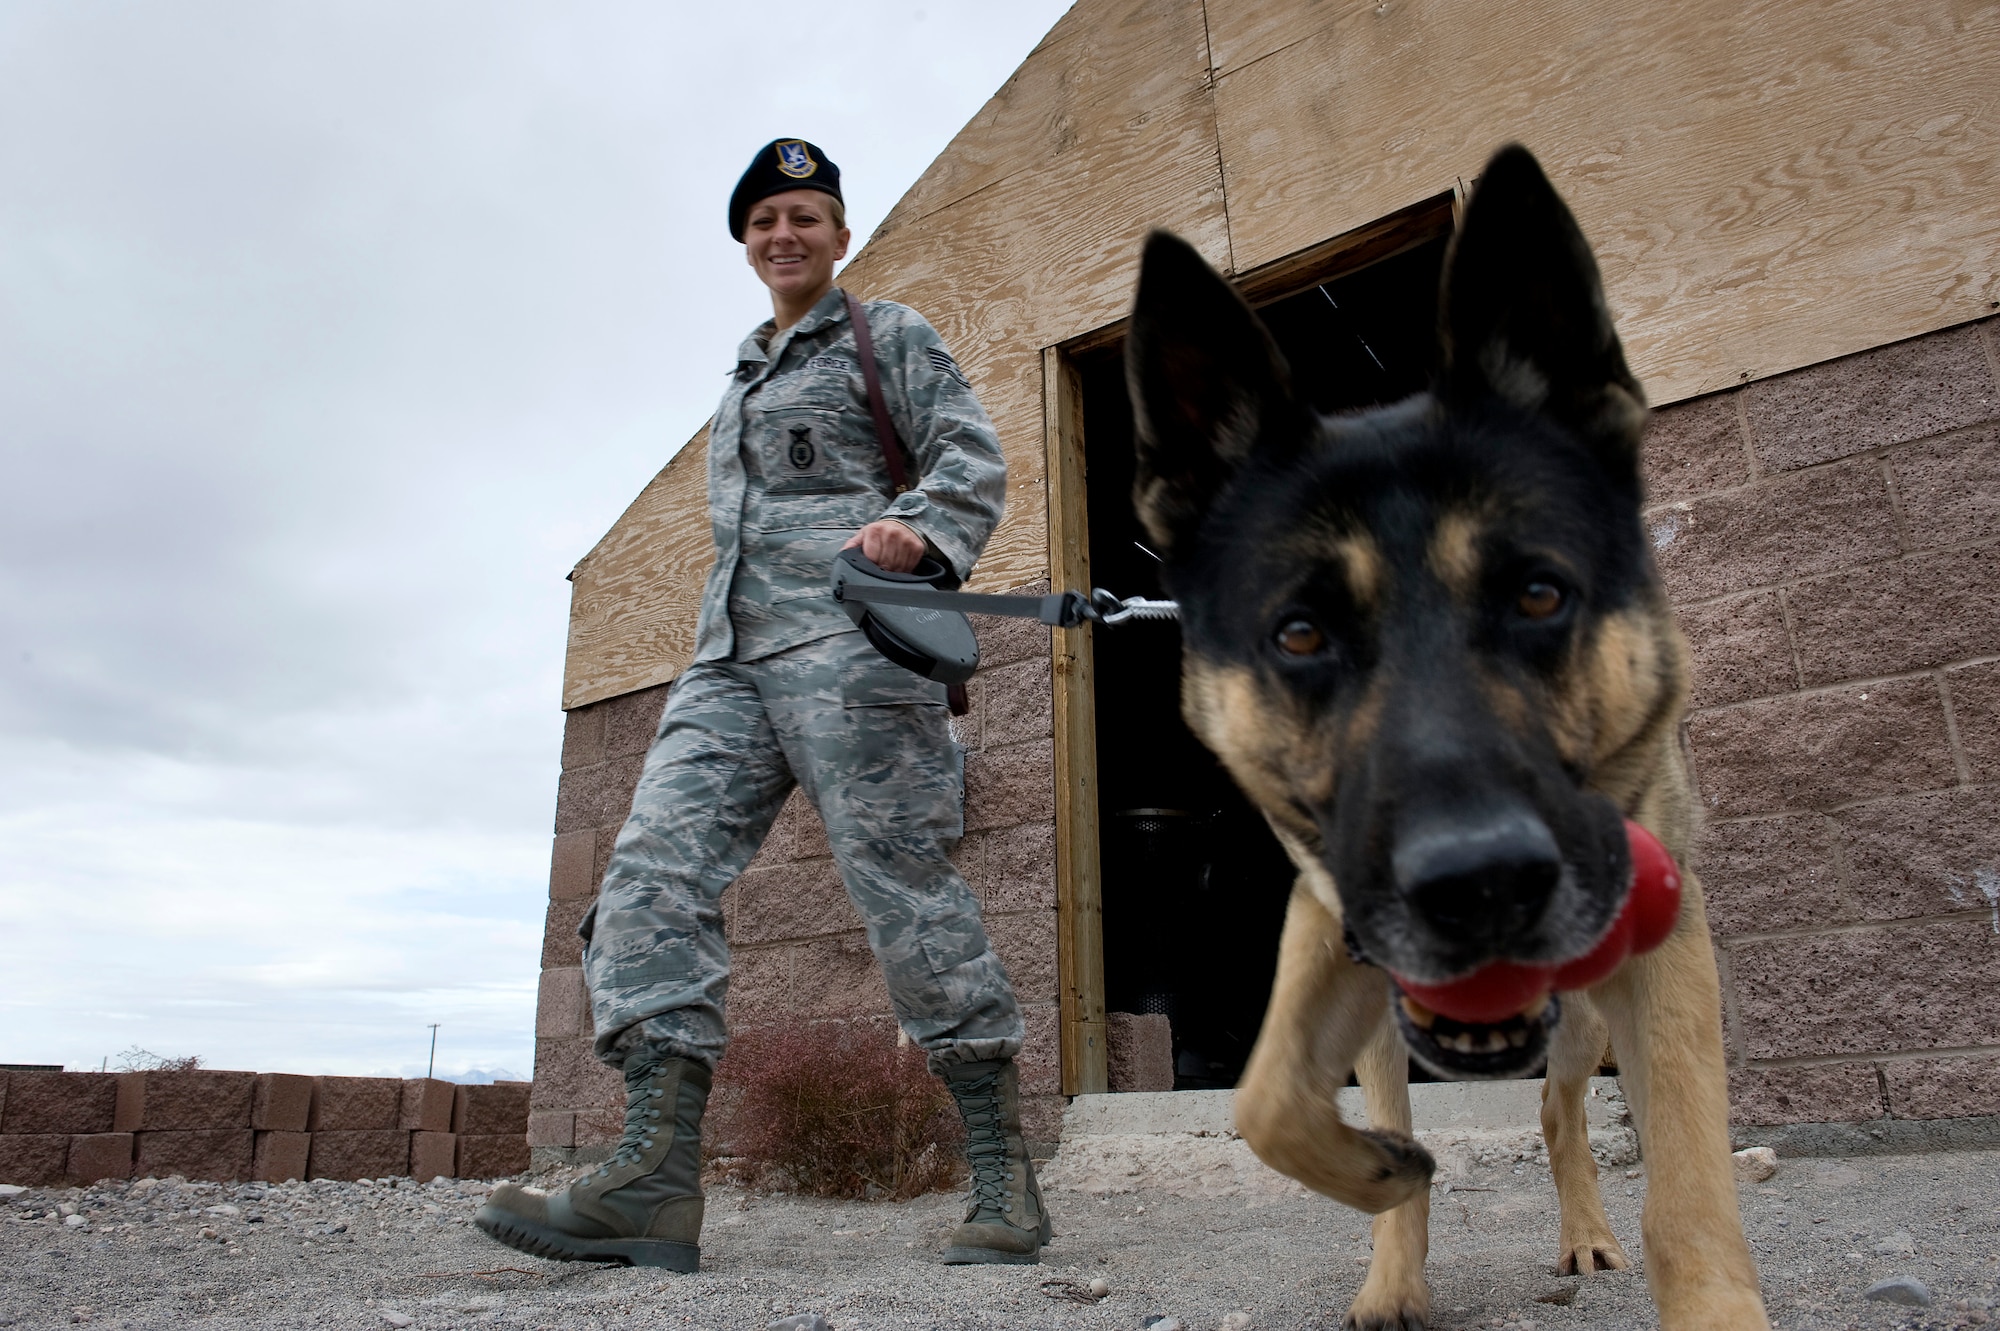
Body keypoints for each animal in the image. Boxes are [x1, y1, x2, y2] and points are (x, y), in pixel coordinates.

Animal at [1128, 139, 1768, 1319]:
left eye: (1537, 594)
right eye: (1298, 632)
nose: (1480, 885)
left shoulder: (1663, 956)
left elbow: (1690, 1186)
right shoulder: (1329, 922)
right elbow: (1262, 1101)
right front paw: (1382, 1174)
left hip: (1590, 1006)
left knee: (1565, 1108)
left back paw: (1585, 1231)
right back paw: (1395, 1258)